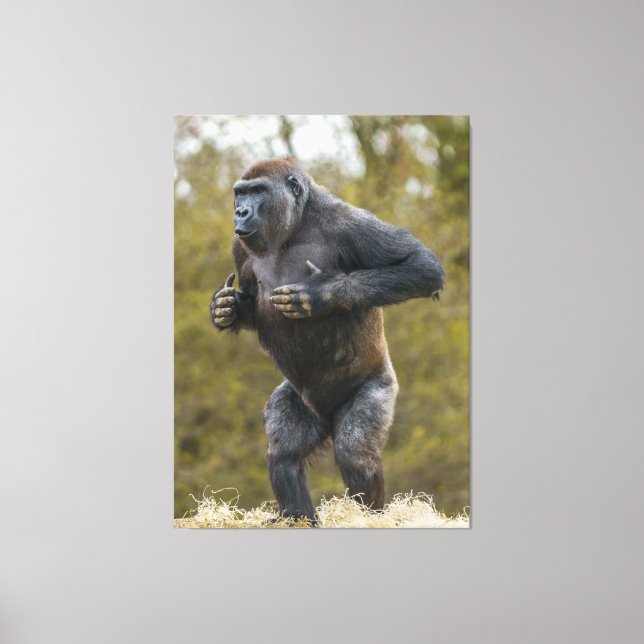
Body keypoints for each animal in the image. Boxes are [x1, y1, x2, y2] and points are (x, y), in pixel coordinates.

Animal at [210, 158, 444, 523]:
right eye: (241, 193)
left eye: (258, 191)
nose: (240, 212)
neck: (294, 226)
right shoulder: (240, 247)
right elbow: (248, 301)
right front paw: (226, 308)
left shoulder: (349, 222)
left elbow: (421, 266)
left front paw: (322, 294)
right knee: (284, 453)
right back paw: (297, 518)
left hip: (380, 385)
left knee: (354, 451)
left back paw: (368, 517)